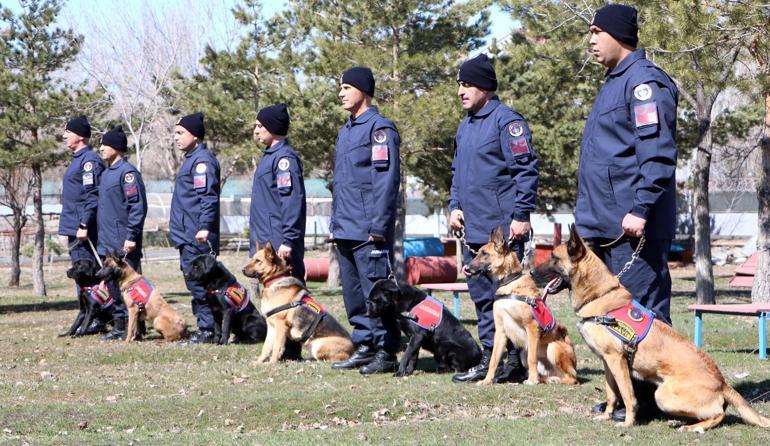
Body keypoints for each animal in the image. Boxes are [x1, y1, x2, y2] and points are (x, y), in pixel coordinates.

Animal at [462, 228, 576, 386]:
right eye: (478, 252)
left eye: (484, 253)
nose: (466, 268)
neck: (509, 283)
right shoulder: (500, 331)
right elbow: (493, 360)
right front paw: (487, 380)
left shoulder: (532, 328)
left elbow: (532, 358)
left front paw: (532, 380)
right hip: (523, 352)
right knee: (547, 375)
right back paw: (547, 379)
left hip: (553, 347)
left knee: (572, 378)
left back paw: (550, 380)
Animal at [528, 225, 768, 430]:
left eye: (554, 257)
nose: (529, 273)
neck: (599, 295)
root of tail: (722, 383)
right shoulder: (607, 362)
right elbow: (611, 394)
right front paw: (606, 415)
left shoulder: (617, 360)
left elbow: (627, 395)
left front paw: (627, 422)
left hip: (663, 395)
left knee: (720, 414)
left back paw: (694, 427)